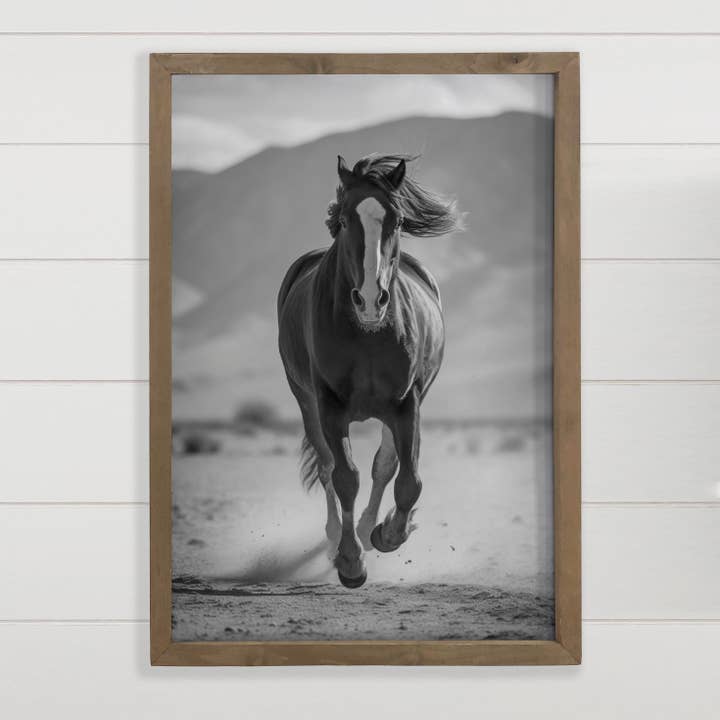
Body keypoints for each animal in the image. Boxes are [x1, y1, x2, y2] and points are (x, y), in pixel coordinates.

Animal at [277, 154, 463, 588]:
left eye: (397, 220)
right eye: (346, 220)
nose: (369, 300)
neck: (367, 334)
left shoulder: (407, 404)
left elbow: (406, 479)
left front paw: (387, 534)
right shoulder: (328, 405)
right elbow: (345, 476)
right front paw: (350, 561)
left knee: (384, 466)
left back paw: (366, 527)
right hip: (304, 400)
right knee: (326, 466)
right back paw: (335, 539)